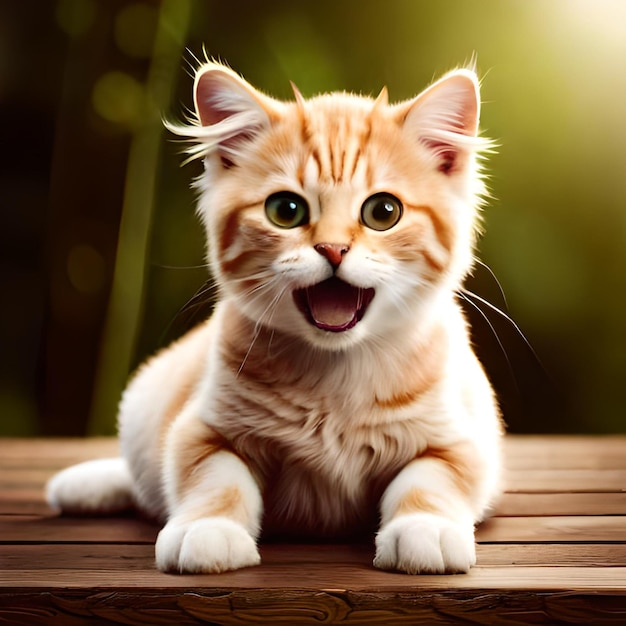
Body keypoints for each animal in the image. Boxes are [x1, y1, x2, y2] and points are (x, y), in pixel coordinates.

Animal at [46, 61, 500, 572]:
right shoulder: (201, 429)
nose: (333, 249)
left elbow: (431, 478)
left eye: (384, 212)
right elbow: (215, 477)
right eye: (286, 210)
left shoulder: (461, 441)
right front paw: (210, 529)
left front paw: (426, 527)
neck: (334, 377)